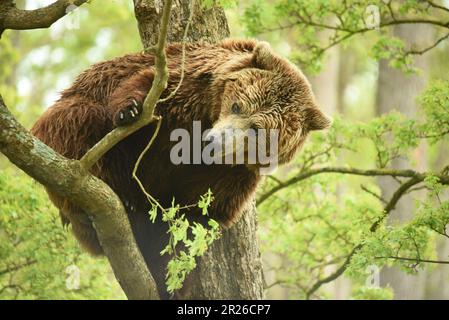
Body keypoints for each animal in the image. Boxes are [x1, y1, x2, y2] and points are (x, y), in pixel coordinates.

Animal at [30, 39, 328, 298]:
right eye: (237, 105)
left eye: (257, 129)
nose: (213, 142)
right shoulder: (185, 89)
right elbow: (147, 89)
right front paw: (130, 110)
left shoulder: (233, 176)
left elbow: (195, 216)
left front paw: (171, 278)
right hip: (72, 117)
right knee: (77, 121)